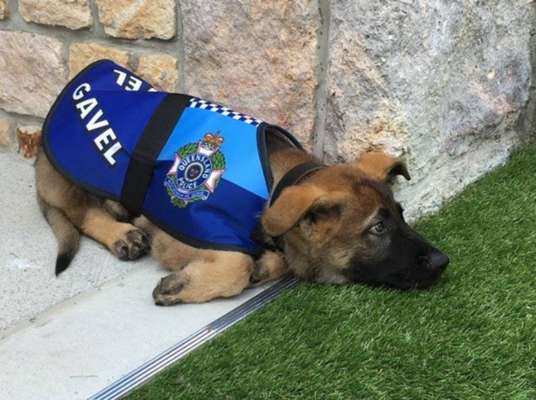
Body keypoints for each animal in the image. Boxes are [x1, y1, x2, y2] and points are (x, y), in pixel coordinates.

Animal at [34, 130, 448, 304]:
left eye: (401, 216)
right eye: (377, 227)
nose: (443, 261)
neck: (273, 186)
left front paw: (264, 265)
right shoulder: (179, 234)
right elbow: (235, 266)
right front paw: (179, 287)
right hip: (76, 179)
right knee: (82, 212)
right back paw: (122, 233)